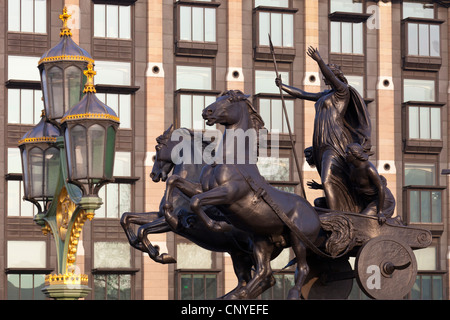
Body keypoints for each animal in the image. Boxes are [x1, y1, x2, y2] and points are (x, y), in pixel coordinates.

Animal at [121, 124, 282, 298]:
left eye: (158, 147)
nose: (154, 174)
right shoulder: (158, 216)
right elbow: (126, 218)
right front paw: (145, 247)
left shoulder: (169, 222)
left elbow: (143, 230)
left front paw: (161, 255)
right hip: (239, 255)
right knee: (246, 280)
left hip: (257, 248)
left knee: (266, 276)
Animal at [163, 90, 322, 300]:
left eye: (230, 100)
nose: (207, 111)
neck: (231, 159)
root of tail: (316, 215)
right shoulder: (203, 188)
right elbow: (174, 182)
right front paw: (170, 214)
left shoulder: (229, 192)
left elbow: (196, 202)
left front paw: (218, 225)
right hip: (262, 240)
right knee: (264, 271)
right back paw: (239, 293)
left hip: (299, 241)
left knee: (302, 268)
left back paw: (291, 293)